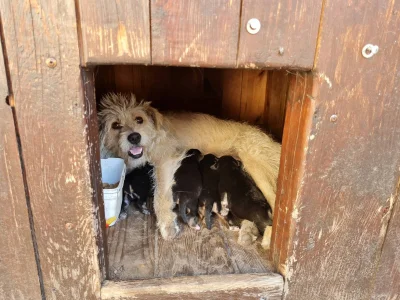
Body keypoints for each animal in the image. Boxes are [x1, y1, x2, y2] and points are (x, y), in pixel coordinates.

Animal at [99, 94, 282, 246]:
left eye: (139, 119)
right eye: (115, 125)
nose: (134, 137)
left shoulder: (166, 161)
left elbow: (160, 194)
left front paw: (167, 224)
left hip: (255, 165)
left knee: (275, 202)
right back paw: (247, 232)